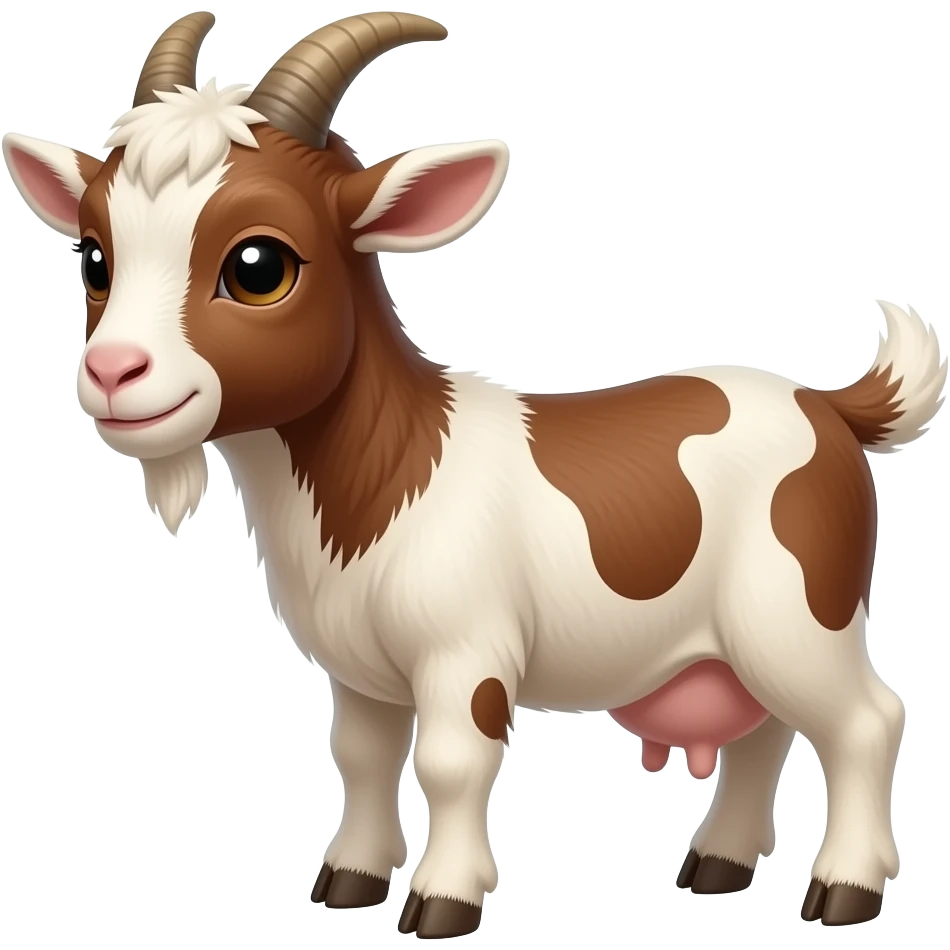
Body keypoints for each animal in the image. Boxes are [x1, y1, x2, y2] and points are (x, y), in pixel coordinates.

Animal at [2, 11, 944, 938]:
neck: (388, 469)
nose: (112, 372)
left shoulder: (466, 649)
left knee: (863, 721)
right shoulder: (361, 673)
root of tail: (830, 406)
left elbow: (452, 762)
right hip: (746, 640)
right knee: (766, 732)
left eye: (259, 265)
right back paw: (718, 865)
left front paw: (442, 902)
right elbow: (363, 758)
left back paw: (845, 889)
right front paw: (349, 881)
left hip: (800, 614)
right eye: (93, 258)